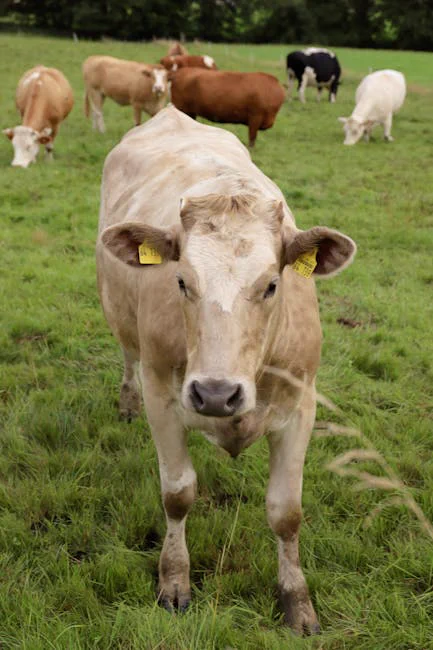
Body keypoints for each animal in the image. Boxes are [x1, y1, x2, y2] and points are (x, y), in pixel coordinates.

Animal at [96, 105, 356, 634]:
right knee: (128, 356)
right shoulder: (162, 396)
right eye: (180, 280)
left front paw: (297, 601)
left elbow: (286, 512)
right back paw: (125, 403)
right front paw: (174, 581)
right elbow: (177, 493)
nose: (216, 394)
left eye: (273, 284)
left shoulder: (301, 407)